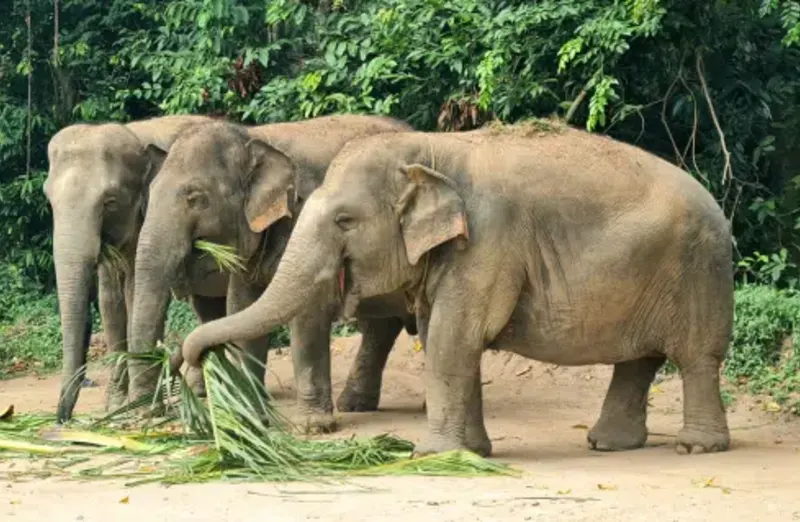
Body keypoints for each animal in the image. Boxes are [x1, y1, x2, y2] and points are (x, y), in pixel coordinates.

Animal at [44, 114, 217, 422]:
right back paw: (199, 389)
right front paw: (116, 406)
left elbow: (135, 292)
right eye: (48, 202)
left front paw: (141, 405)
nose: (63, 419)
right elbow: (109, 301)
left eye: (109, 202)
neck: (133, 135)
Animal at [131, 114, 417, 431]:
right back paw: (355, 405)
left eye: (195, 198)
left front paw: (314, 426)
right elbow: (241, 306)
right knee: (382, 327)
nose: (148, 413)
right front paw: (248, 418)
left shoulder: (308, 222)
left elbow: (307, 314)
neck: (254, 138)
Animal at [177, 121, 734, 457]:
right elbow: (443, 336)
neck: (432, 150)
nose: (187, 365)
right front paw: (475, 453)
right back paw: (608, 444)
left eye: (344, 220)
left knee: (696, 359)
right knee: (638, 360)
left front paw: (433, 455)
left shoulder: (488, 240)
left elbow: (453, 336)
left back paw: (696, 447)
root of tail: (718, 205)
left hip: (698, 271)